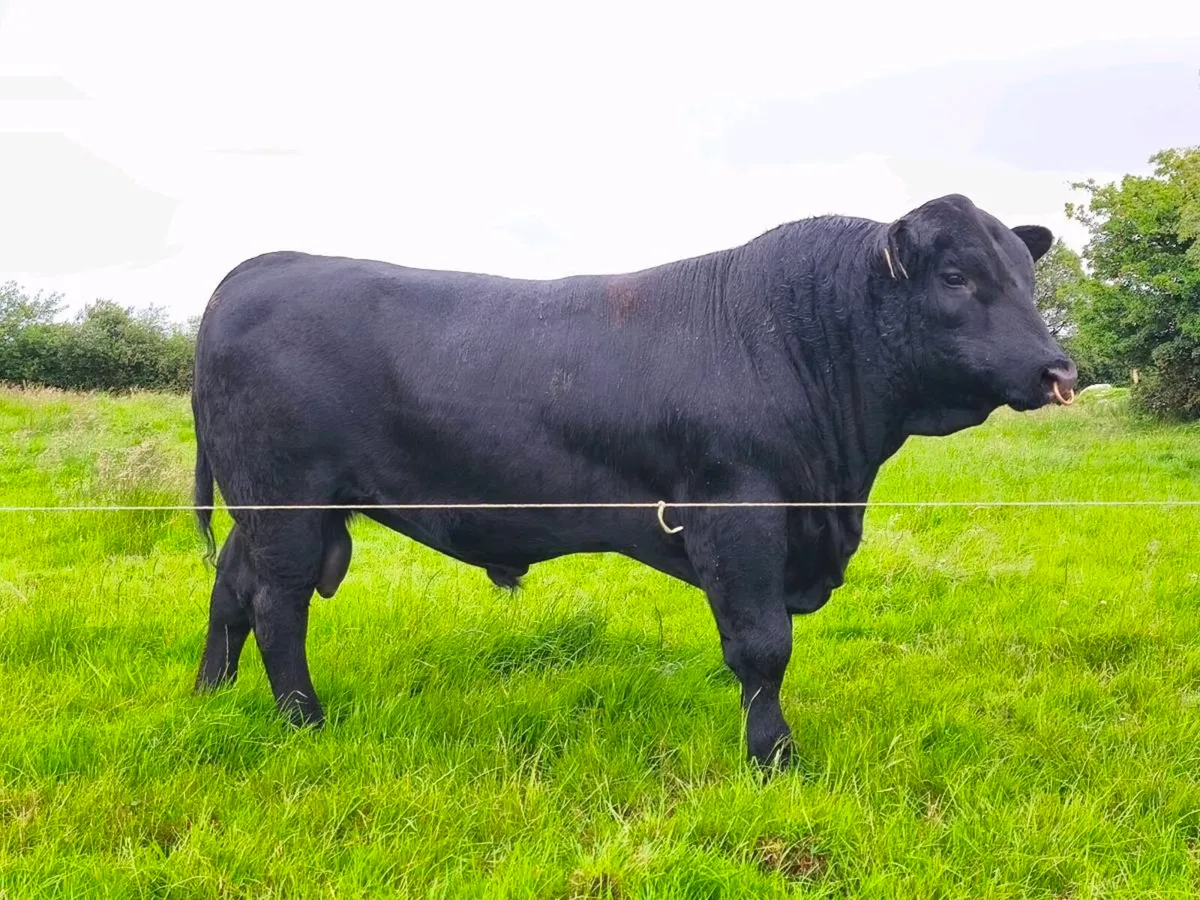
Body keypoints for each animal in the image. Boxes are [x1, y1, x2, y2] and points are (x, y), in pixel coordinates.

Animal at [190, 193, 1077, 768]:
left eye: (1025, 278)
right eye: (955, 277)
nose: (1058, 369)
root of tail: (263, 266)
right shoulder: (738, 513)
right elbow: (761, 647)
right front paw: (774, 759)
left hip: (265, 509)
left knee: (230, 588)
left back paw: (212, 696)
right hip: (286, 501)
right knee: (276, 605)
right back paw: (303, 722)